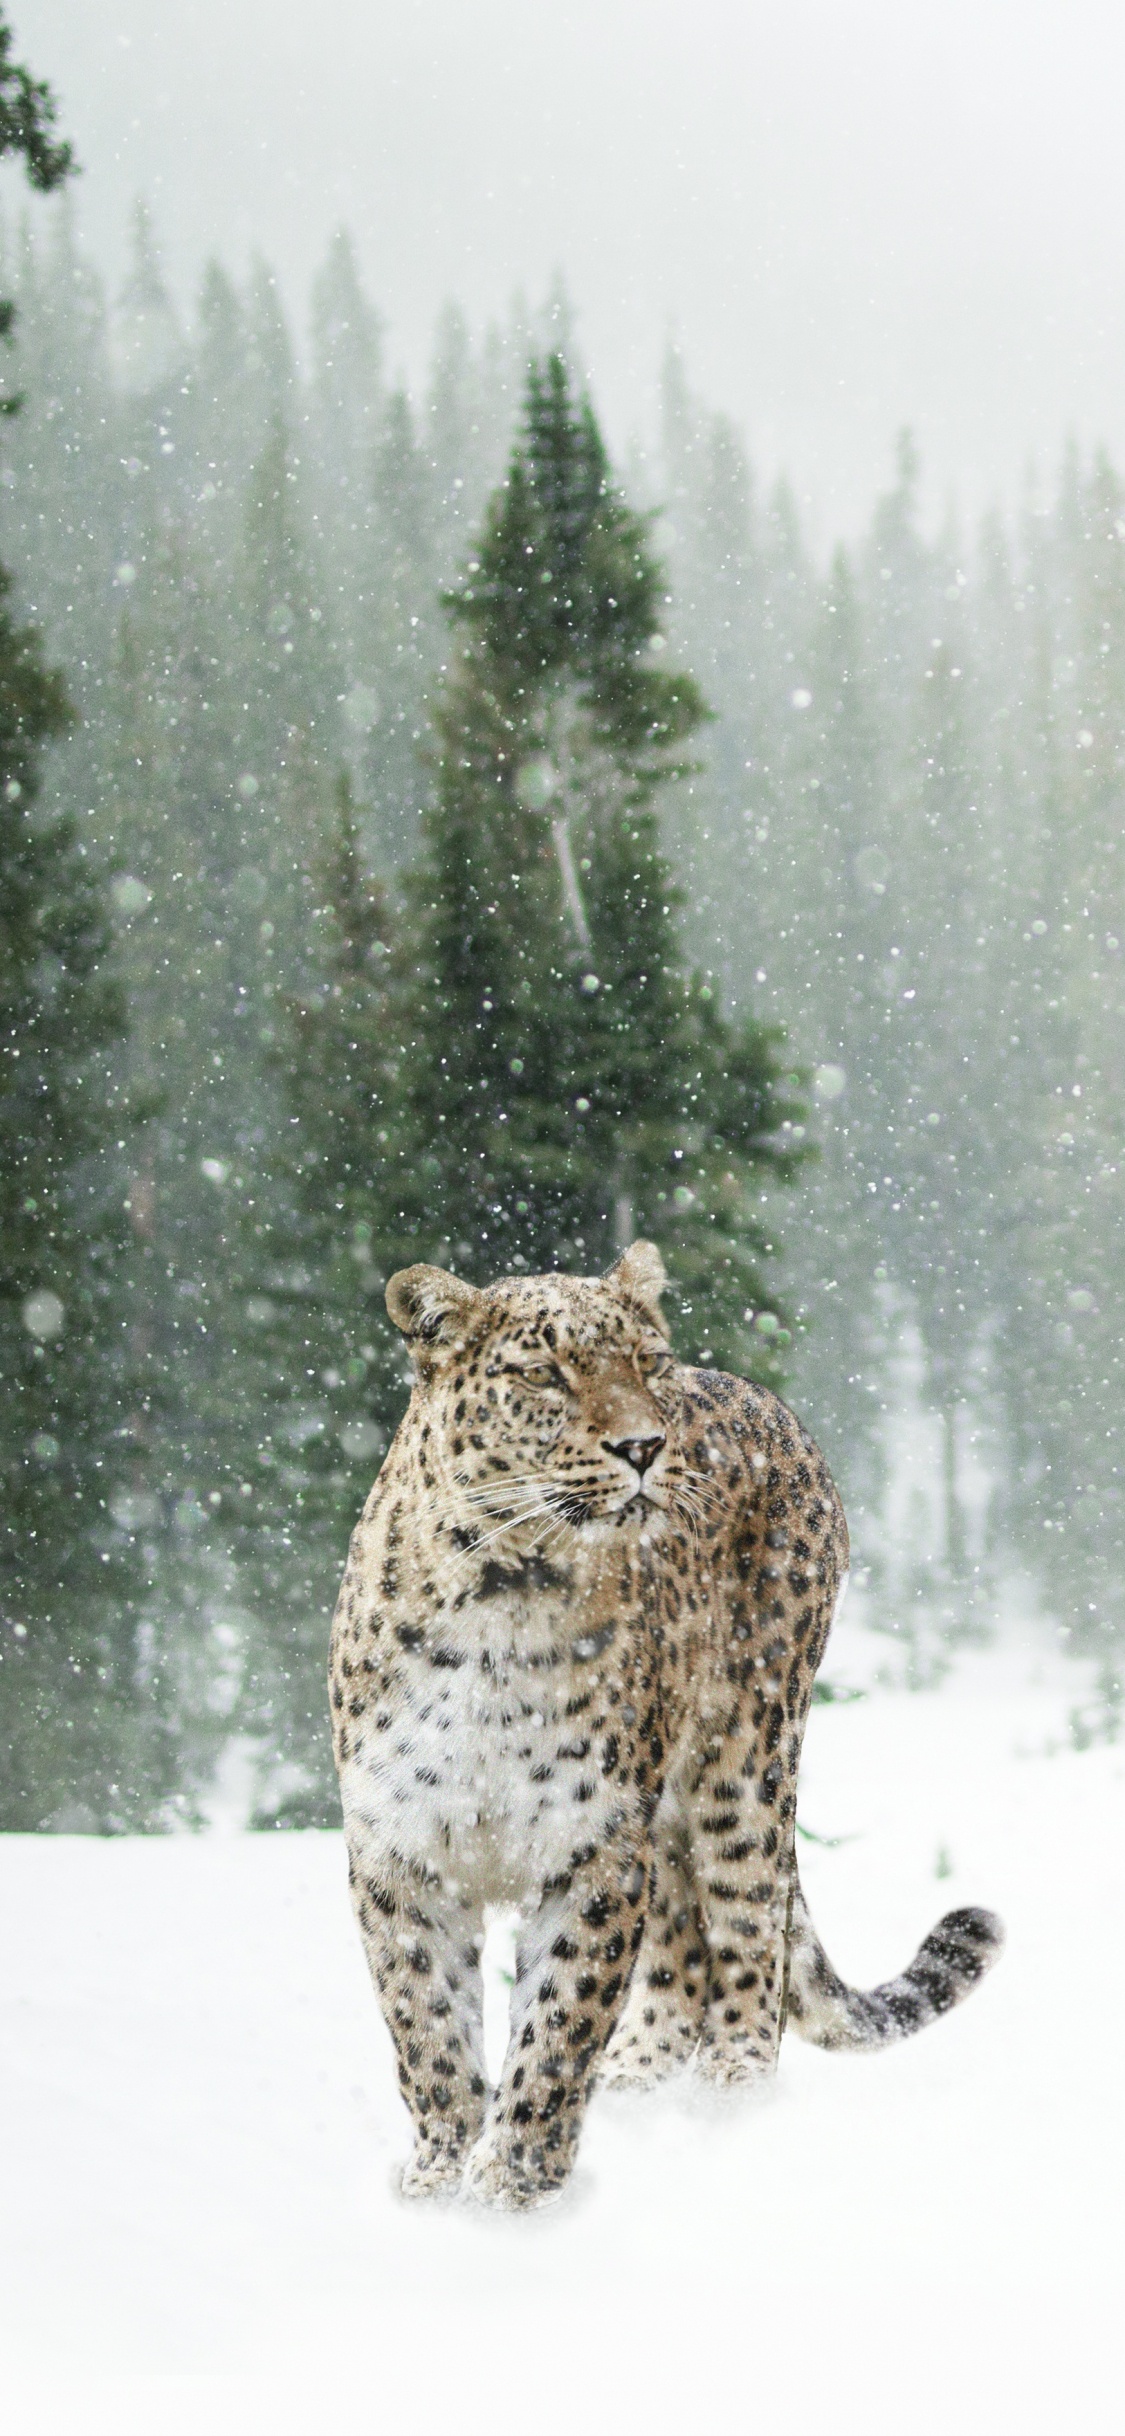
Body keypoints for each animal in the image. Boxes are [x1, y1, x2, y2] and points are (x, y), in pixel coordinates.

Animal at [329, 1240, 1003, 2209]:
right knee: (683, 1943)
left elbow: (559, 2023)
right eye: (543, 1373)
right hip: (674, 1810)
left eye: (645, 1364)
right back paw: (640, 2086)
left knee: (748, 1928)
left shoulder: (594, 1845)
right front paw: (439, 2179)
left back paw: (728, 2101)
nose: (644, 1446)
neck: (502, 1594)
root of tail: (766, 1399)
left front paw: (512, 2188)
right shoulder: (401, 1848)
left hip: (745, 1757)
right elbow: (427, 2026)